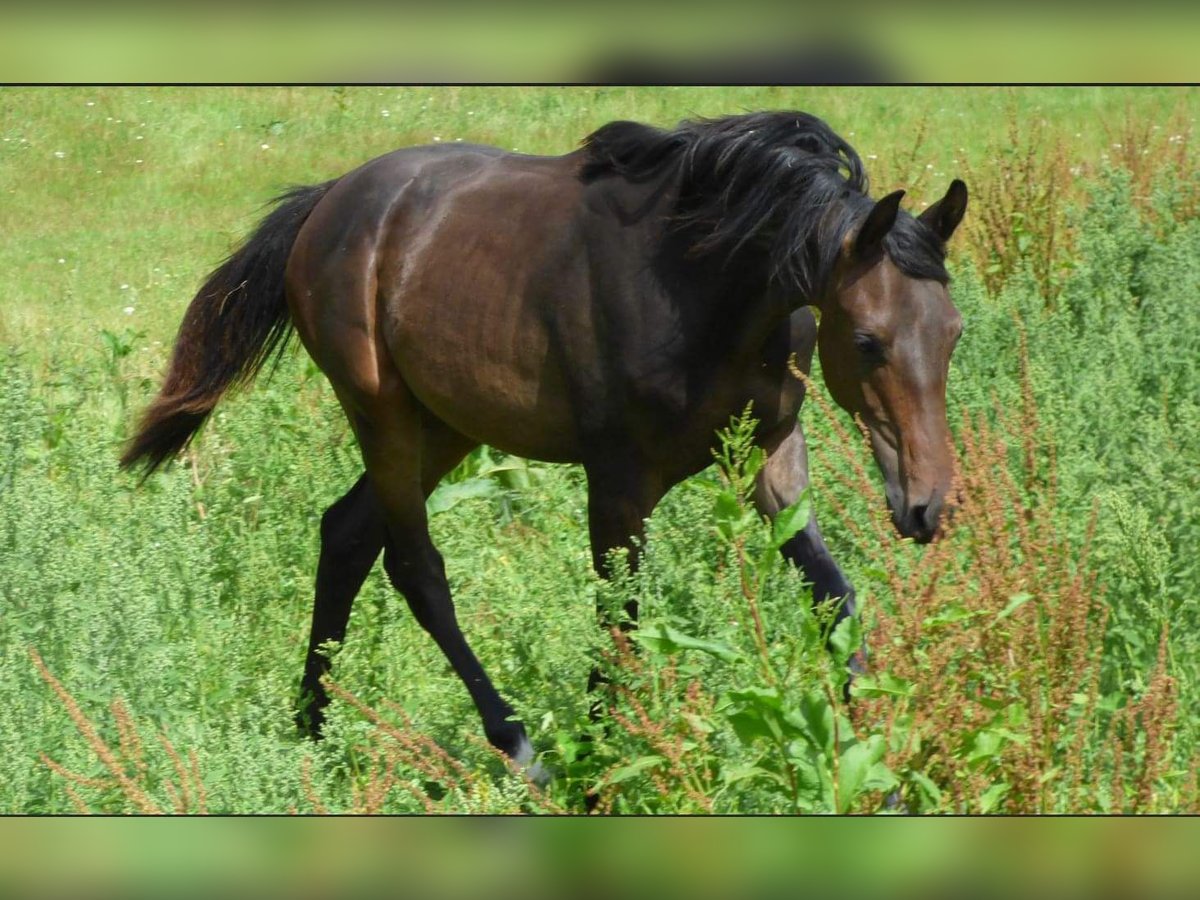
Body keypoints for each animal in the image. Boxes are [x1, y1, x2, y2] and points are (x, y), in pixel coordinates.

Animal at [121, 111, 964, 777]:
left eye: (953, 331)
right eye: (868, 341)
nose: (928, 506)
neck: (704, 291)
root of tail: (326, 202)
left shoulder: (772, 457)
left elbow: (833, 597)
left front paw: (877, 766)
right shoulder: (619, 482)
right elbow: (619, 625)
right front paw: (604, 768)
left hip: (446, 424)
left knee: (347, 533)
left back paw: (313, 730)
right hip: (382, 413)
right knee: (414, 566)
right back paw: (522, 752)